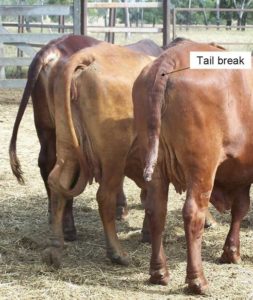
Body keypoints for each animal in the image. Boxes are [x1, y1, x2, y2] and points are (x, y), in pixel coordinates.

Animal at [132, 38, 253, 294]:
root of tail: (170, 58)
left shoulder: (240, 174)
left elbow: (240, 208)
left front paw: (231, 252)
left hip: (156, 166)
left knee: (156, 210)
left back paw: (159, 272)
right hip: (202, 167)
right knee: (193, 214)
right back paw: (198, 280)